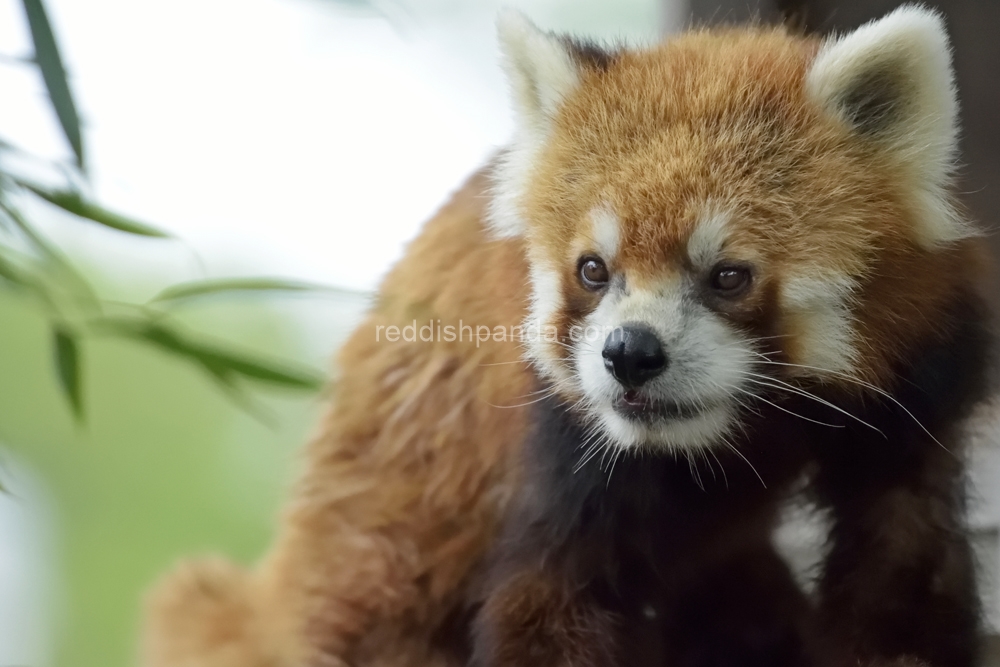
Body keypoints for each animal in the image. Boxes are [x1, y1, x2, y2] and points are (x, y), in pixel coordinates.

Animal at [141, 5, 992, 667]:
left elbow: (903, 567)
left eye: (728, 275)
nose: (630, 354)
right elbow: (547, 598)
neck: (738, 434)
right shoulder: (563, 439)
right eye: (593, 268)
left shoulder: (916, 388)